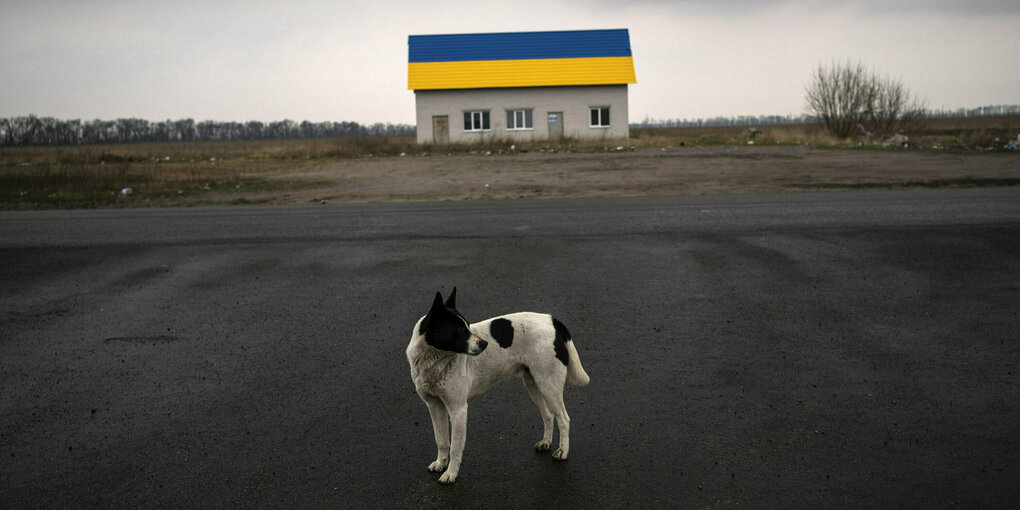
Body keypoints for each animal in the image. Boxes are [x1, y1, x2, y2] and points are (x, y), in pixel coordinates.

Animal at [405, 289, 591, 483]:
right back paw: (546, 442)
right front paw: (441, 463)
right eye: (458, 329)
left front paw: (450, 473)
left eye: (468, 326)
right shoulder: (435, 407)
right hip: (534, 385)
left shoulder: (458, 410)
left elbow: (455, 447)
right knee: (548, 415)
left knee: (563, 418)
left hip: (548, 385)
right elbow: (441, 440)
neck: (435, 360)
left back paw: (563, 451)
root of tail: (552, 320)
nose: (484, 344)